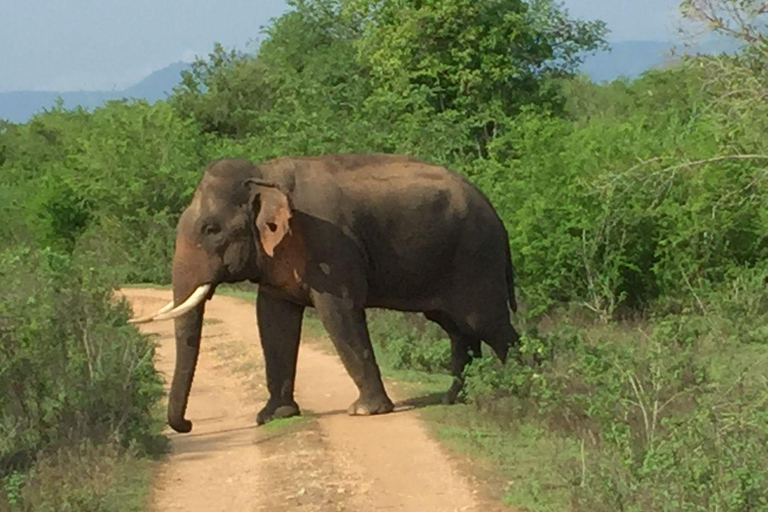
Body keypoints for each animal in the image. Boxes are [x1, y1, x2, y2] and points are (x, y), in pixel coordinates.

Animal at [132, 155, 520, 432]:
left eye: (211, 229)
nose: (188, 424)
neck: (264, 173)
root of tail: (498, 216)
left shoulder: (329, 246)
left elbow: (340, 313)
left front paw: (365, 412)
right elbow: (272, 318)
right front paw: (273, 416)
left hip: (476, 259)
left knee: (489, 325)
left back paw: (515, 392)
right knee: (457, 329)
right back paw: (454, 398)